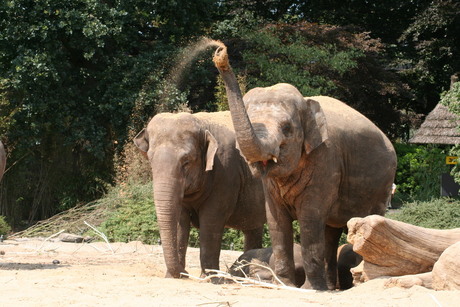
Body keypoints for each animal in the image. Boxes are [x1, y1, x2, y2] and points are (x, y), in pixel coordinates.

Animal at [134, 112, 266, 280]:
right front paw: (173, 276)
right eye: (150, 160)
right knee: (253, 228)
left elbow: (210, 221)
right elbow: (180, 222)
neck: (202, 124)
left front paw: (210, 278)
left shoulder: (225, 173)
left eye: (186, 162)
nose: (185, 273)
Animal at [212, 45, 396, 292]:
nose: (220, 53)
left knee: (363, 223)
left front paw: (309, 289)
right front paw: (284, 284)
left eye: (287, 128)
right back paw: (331, 287)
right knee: (330, 231)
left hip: (382, 185)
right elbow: (276, 220)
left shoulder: (327, 159)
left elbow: (310, 217)